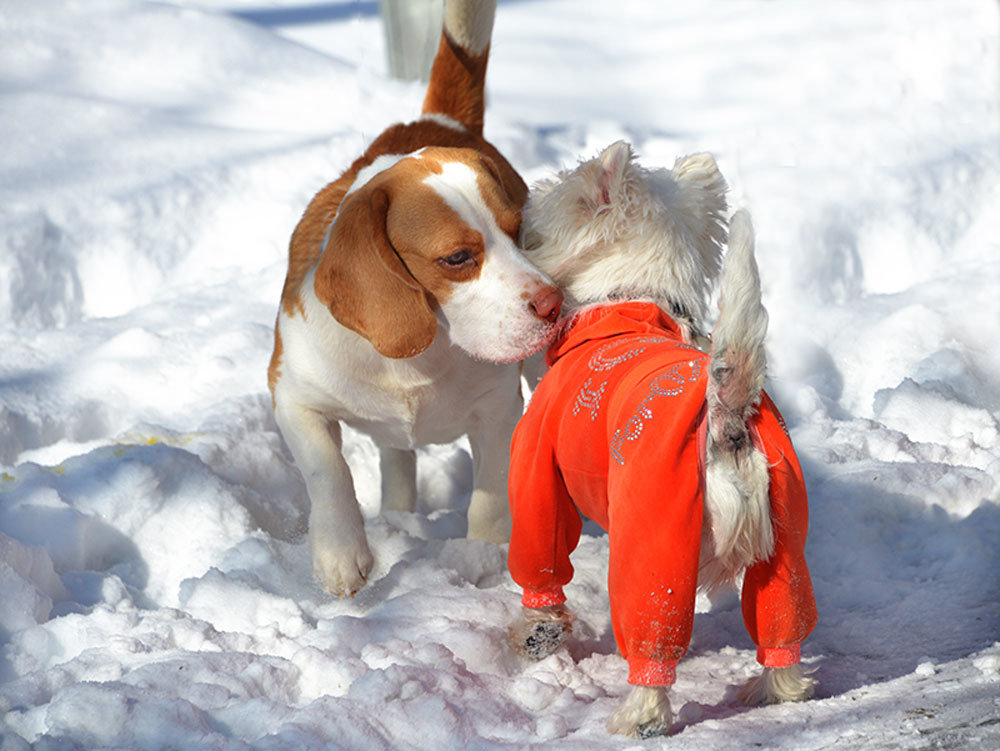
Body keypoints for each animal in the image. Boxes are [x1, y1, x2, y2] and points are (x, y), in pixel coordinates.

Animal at [504, 142, 816, 740]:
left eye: (535, 219)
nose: (513, 221)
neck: (628, 301)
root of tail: (727, 416)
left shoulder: (537, 474)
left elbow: (542, 562)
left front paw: (535, 635)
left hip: (654, 542)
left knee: (652, 645)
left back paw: (636, 718)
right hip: (785, 537)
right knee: (783, 629)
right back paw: (773, 690)